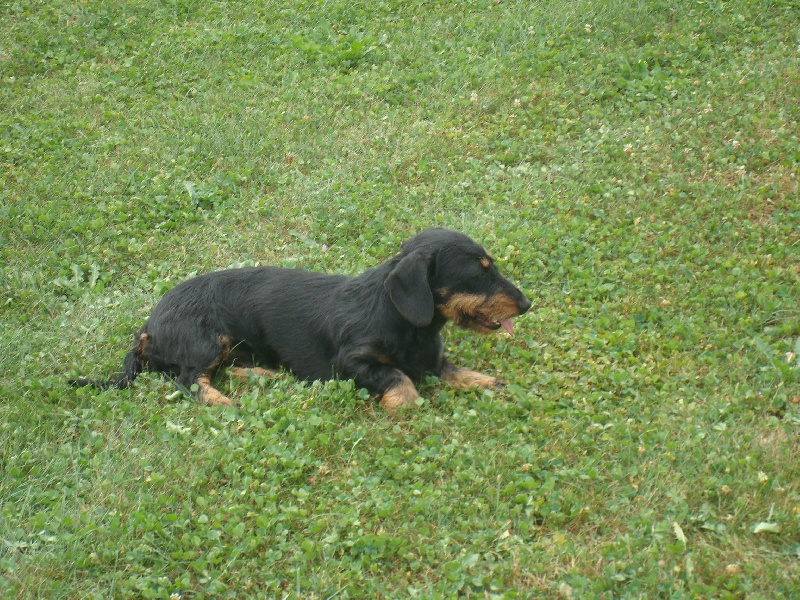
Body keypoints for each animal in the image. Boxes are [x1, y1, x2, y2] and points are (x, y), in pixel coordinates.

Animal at [70, 227, 532, 410]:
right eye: (479, 272)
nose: (527, 304)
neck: (398, 319)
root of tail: (147, 327)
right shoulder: (352, 362)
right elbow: (397, 377)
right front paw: (407, 402)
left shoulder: (431, 358)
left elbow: (450, 369)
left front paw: (486, 382)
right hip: (205, 339)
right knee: (189, 381)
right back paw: (223, 402)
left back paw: (265, 376)